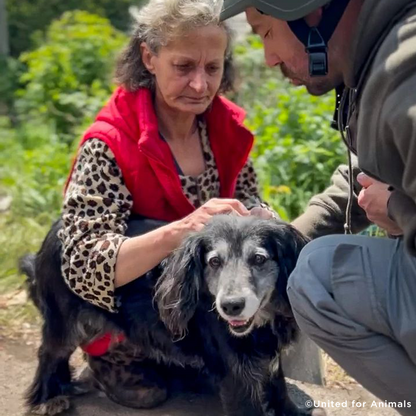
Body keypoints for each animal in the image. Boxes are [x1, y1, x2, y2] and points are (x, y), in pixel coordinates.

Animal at [21, 214, 324, 416]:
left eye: (259, 259)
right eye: (214, 261)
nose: (231, 306)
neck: (262, 320)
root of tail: (61, 229)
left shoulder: (266, 355)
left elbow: (278, 383)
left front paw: (293, 412)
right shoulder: (235, 372)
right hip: (63, 319)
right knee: (48, 353)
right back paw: (47, 398)